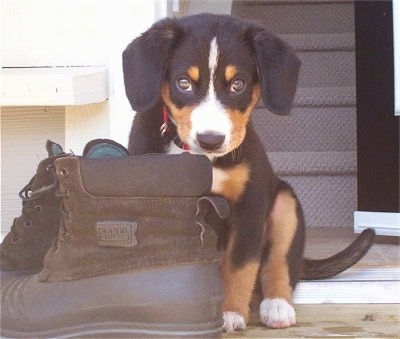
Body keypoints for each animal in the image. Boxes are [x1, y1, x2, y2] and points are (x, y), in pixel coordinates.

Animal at [122, 13, 376, 334]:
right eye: (184, 83)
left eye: (238, 85)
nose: (211, 139)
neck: (203, 159)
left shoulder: (250, 206)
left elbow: (240, 266)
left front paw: (230, 313)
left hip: (285, 203)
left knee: (280, 263)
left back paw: (277, 306)